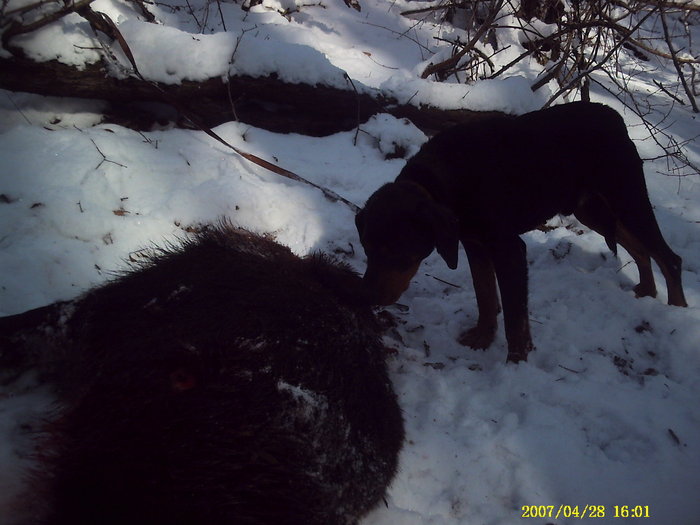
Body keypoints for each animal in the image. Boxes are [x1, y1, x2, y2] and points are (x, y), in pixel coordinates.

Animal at [358, 103, 688, 364]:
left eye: (398, 252)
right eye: (367, 250)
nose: (366, 297)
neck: (447, 179)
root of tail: (615, 117)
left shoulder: (508, 248)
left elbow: (515, 317)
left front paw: (516, 361)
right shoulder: (474, 243)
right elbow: (485, 296)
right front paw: (482, 338)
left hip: (627, 197)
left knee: (669, 256)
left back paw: (678, 310)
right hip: (592, 207)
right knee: (641, 248)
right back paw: (646, 291)